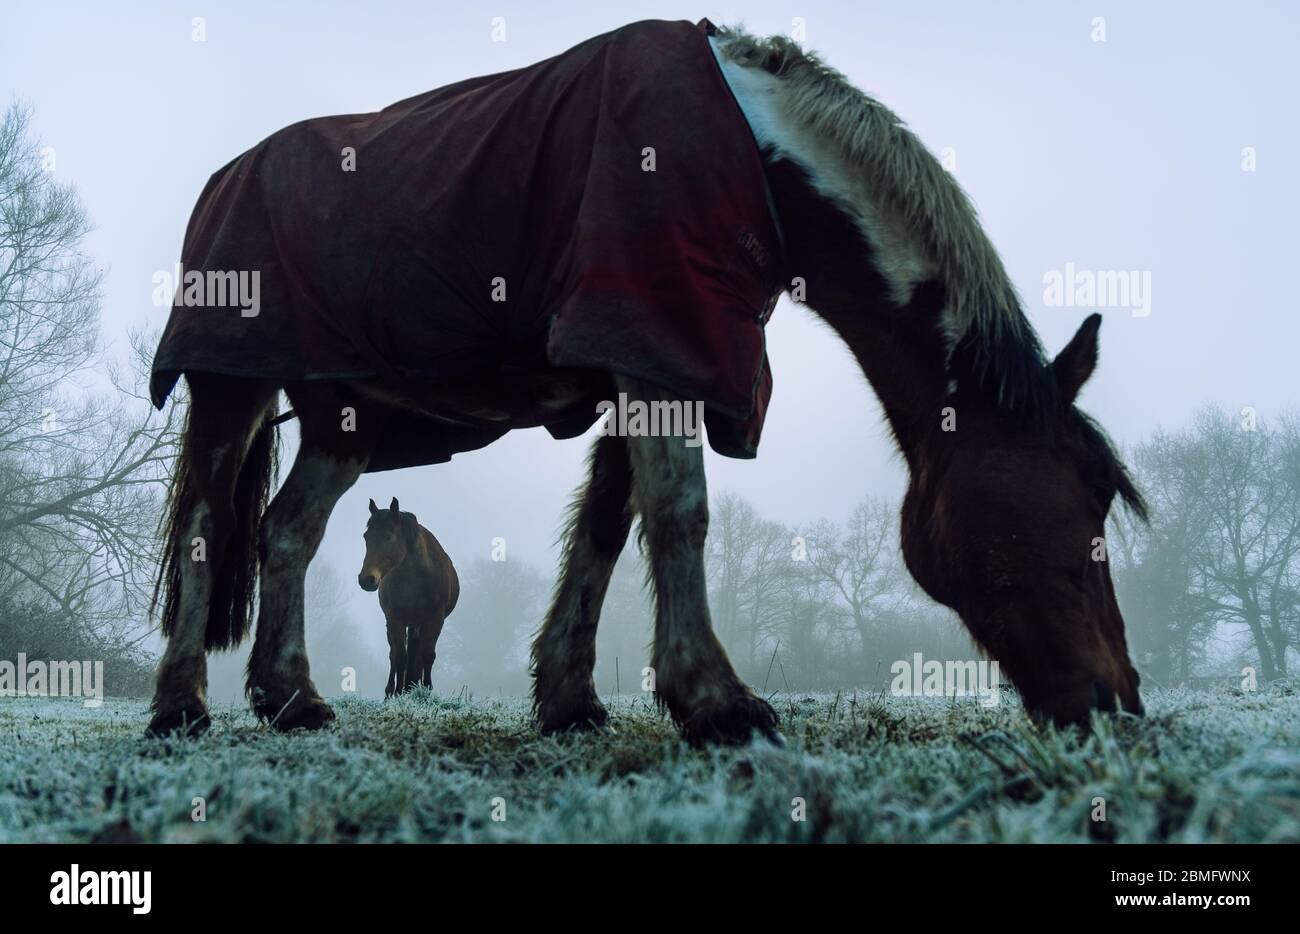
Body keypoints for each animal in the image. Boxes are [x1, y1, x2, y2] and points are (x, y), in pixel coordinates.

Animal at [357, 497, 459, 697]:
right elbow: (400, 657)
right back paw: (392, 691)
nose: (366, 579)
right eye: (366, 537)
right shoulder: (394, 618)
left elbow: (427, 655)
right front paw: (397, 693)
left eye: (388, 536)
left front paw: (426, 691)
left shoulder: (435, 618)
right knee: (395, 654)